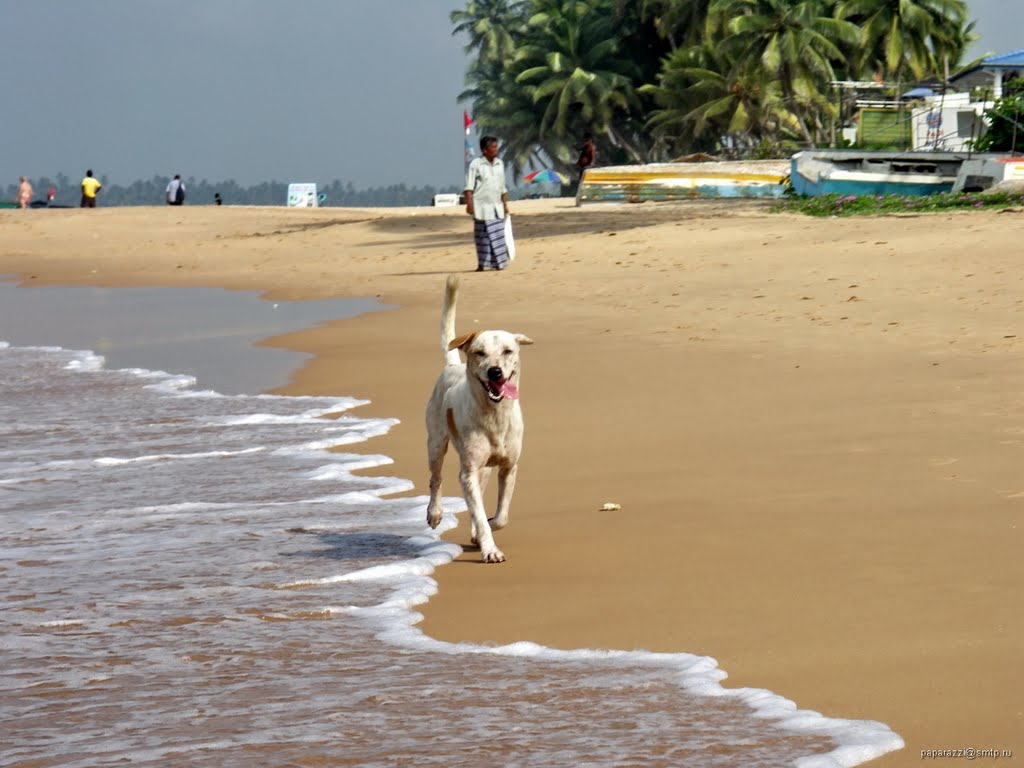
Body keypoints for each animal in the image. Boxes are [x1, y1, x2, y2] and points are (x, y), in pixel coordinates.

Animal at [423, 274, 536, 561]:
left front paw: (484, 529)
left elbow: (499, 516)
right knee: (436, 479)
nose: (495, 372)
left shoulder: (509, 467)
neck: (494, 416)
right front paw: (490, 549)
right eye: (479, 352)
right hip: (436, 442)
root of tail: (453, 366)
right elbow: (480, 512)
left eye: (508, 351)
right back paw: (434, 513)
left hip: (482, 467)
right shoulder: (469, 471)